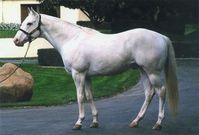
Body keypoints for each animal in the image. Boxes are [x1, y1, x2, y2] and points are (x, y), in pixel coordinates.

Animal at [14, 8, 179, 130]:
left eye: (29, 23)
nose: (16, 41)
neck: (71, 39)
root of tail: (162, 37)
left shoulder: (78, 74)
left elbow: (80, 97)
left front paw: (79, 123)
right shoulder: (86, 76)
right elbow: (89, 96)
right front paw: (94, 121)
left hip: (153, 72)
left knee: (161, 92)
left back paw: (158, 123)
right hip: (143, 70)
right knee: (149, 93)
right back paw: (136, 121)